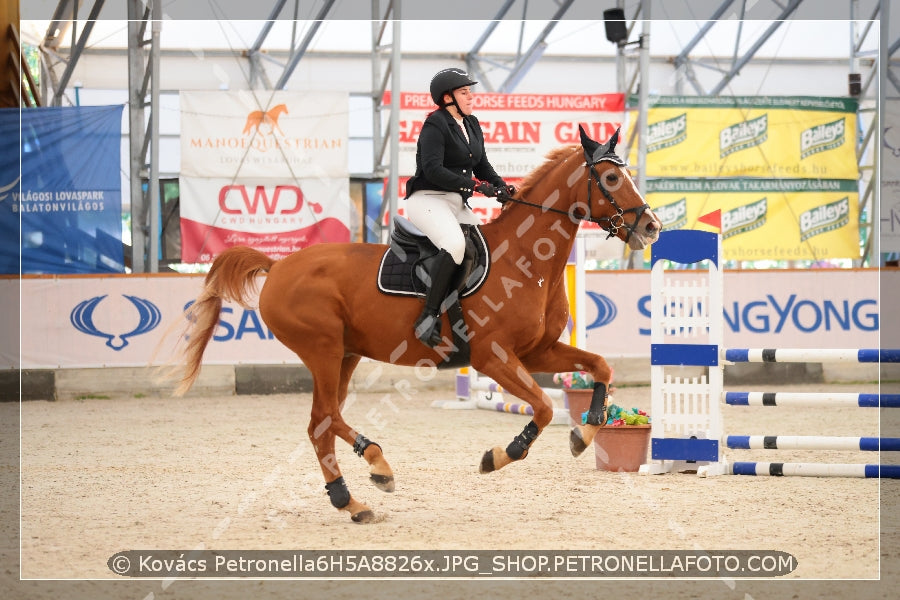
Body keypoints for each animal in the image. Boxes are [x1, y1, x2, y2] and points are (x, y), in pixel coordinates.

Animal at [176, 126, 660, 520]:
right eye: (611, 179)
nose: (651, 227)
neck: (526, 260)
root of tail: (277, 266)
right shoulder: (492, 357)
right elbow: (541, 406)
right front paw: (500, 454)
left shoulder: (536, 351)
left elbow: (599, 366)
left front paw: (585, 432)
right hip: (323, 351)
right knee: (324, 419)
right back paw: (369, 474)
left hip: (345, 355)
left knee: (322, 423)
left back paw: (357, 493)